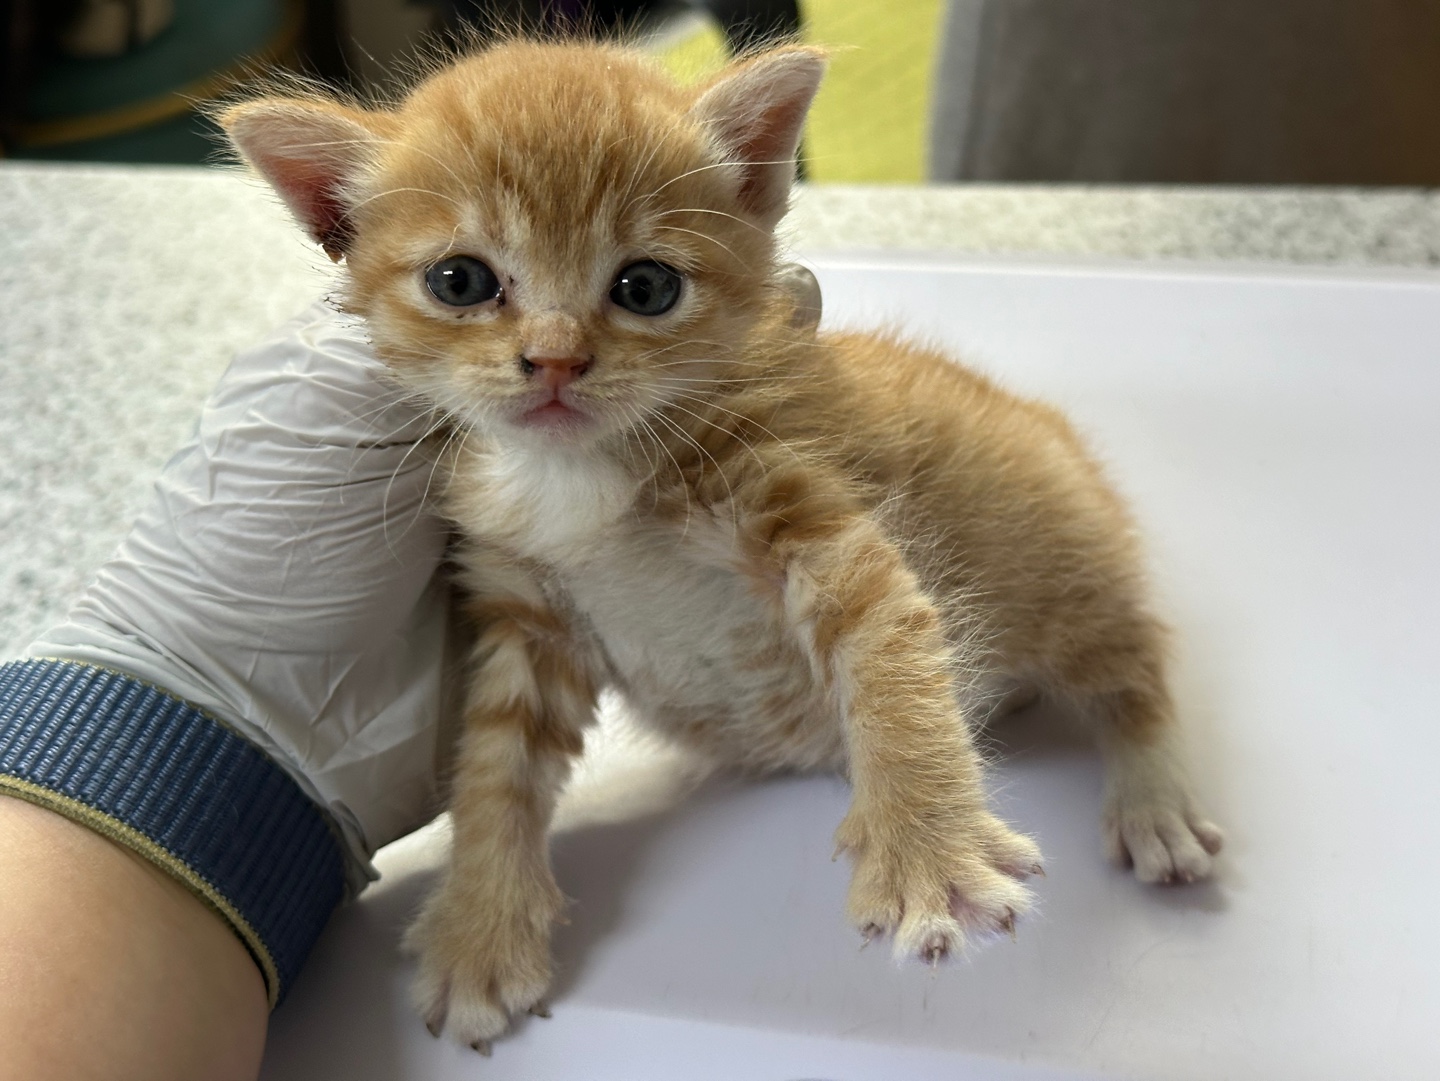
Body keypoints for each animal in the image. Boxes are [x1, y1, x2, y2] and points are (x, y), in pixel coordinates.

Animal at [224, 40, 1226, 1047]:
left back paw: (1154, 801)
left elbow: (890, 655)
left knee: (1137, 661)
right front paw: (482, 926)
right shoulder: (523, 612)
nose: (555, 359)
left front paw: (925, 850)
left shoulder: (811, 516)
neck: (581, 478)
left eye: (646, 287)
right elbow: (495, 765)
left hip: (1062, 562)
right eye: (460, 281)